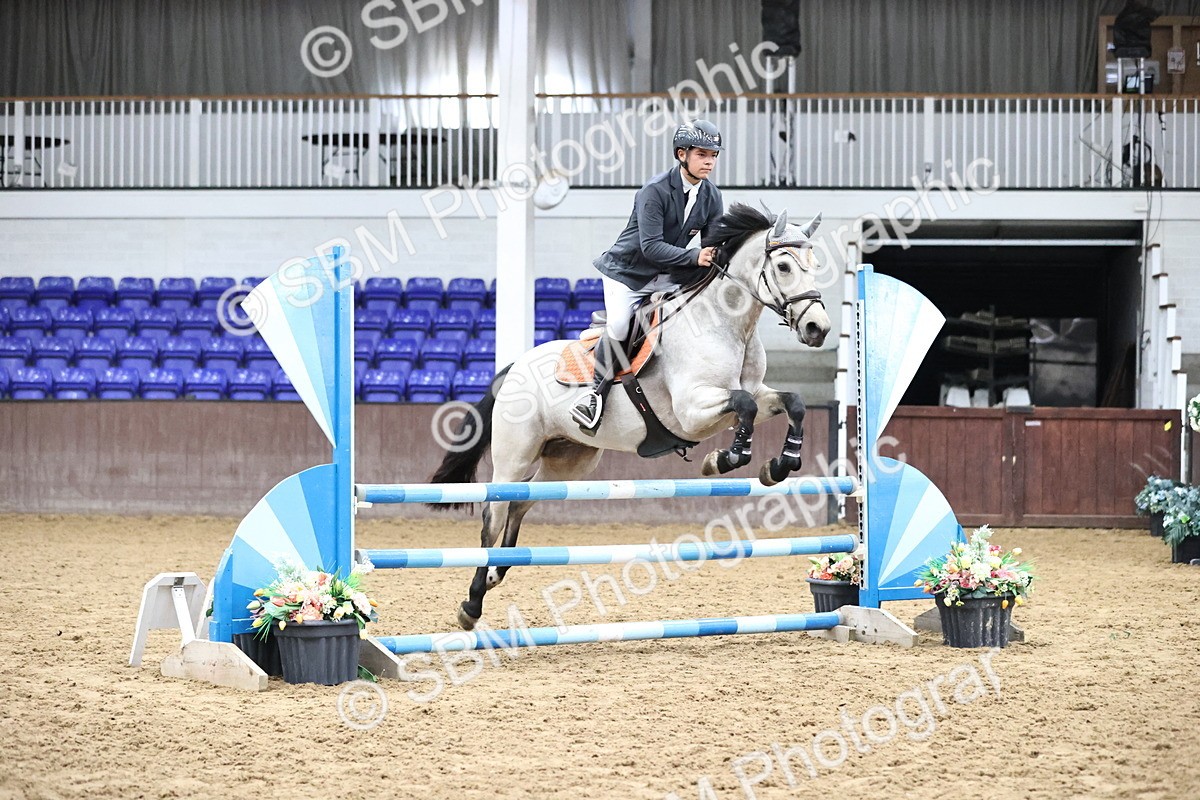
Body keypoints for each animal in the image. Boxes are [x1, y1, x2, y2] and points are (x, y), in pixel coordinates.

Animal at [430, 203, 833, 629]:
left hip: (570, 460)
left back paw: (496, 573)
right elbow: (745, 407)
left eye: (815, 264)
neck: (726, 326)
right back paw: (472, 603)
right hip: (514, 455)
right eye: (784, 266)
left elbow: (792, 403)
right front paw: (724, 458)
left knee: (522, 504)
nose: (817, 328)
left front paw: (780, 464)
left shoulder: (754, 392)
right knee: (494, 512)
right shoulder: (692, 409)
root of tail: (513, 368)